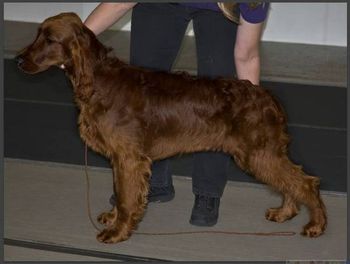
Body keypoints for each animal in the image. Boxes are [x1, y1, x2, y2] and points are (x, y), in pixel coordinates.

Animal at [16, 12, 326, 243]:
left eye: (49, 39)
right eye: (37, 34)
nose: (18, 60)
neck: (98, 81)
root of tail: (267, 96)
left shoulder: (129, 157)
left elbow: (126, 198)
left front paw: (117, 232)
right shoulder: (121, 158)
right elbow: (120, 192)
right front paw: (114, 219)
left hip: (258, 153)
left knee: (305, 182)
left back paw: (316, 225)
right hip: (262, 153)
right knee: (291, 181)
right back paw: (285, 212)